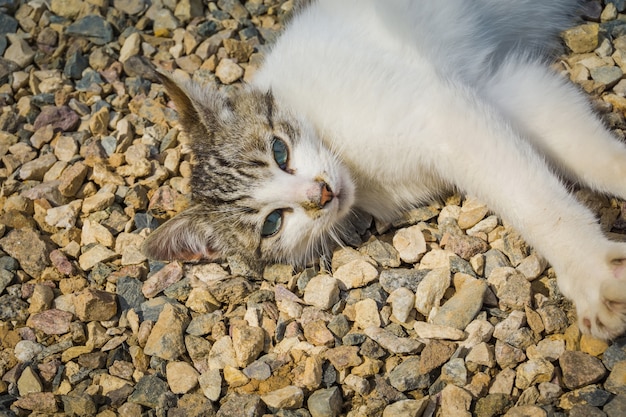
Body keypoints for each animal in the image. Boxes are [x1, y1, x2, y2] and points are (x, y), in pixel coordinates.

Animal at [144, 0, 624, 338]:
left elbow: (537, 201)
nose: (321, 194)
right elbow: (579, 151)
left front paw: (591, 273)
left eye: (280, 152)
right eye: (272, 223)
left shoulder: (442, 111)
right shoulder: (497, 88)